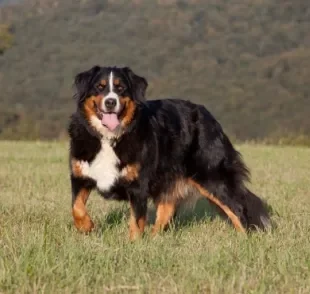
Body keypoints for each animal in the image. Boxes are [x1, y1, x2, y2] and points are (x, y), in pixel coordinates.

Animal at [67, 65, 268, 240]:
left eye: (121, 88)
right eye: (99, 87)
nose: (110, 102)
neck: (109, 138)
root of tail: (208, 116)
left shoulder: (138, 185)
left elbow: (136, 220)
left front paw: (134, 244)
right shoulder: (80, 175)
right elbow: (76, 207)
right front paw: (87, 227)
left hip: (211, 175)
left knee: (237, 209)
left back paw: (244, 240)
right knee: (167, 210)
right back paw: (155, 239)